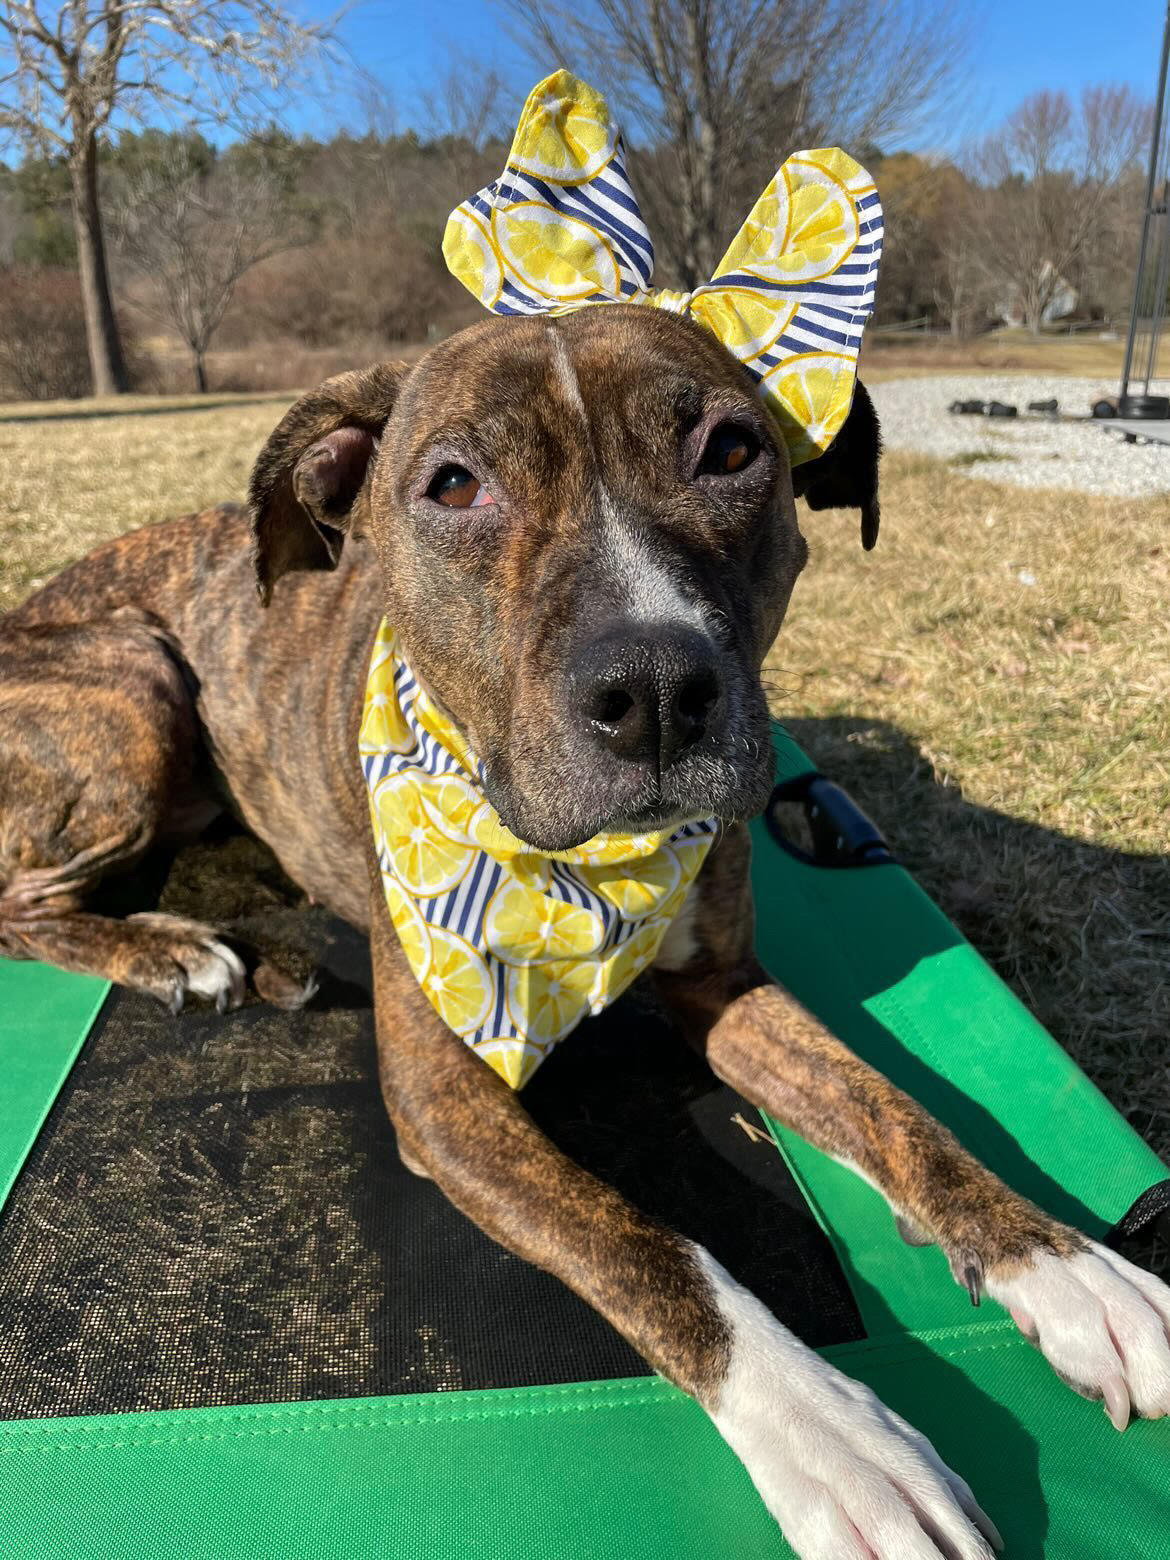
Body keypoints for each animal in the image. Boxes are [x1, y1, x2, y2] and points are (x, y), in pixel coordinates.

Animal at [2, 307, 1170, 1560]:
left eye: (731, 451)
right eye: (454, 484)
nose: (654, 685)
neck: (577, 874)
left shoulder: (729, 988)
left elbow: (898, 1114)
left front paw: (1067, 1266)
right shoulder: (444, 1094)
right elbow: (652, 1248)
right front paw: (830, 1432)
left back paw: (265, 957)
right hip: (131, 681)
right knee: (21, 903)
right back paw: (168, 948)